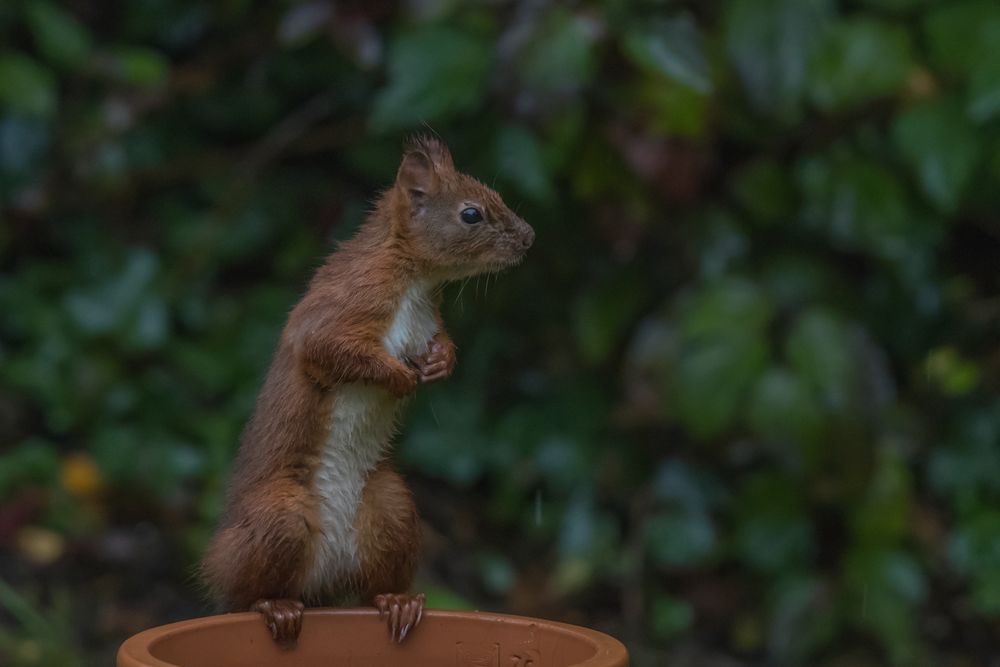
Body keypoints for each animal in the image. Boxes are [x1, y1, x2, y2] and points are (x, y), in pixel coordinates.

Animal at [198, 137, 536, 648]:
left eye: (495, 194)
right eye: (471, 214)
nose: (530, 236)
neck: (414, 282)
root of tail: (320, 583)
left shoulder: (428, 322)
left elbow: (441, 343)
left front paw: (440, 362)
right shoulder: (344, 305)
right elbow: (329, 348)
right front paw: (398, 377)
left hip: (390, 507)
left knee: (372, 587)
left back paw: (396, 602)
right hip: (279, 517)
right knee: (249, 595)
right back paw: (275, 608)